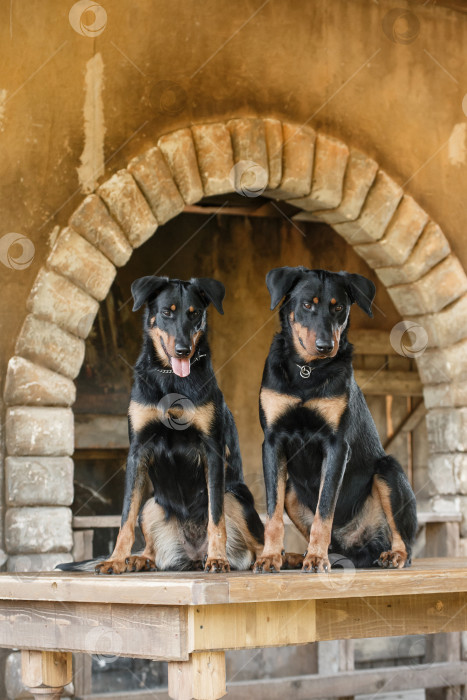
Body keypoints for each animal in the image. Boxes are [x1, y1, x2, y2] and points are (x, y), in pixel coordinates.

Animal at [254, 268, 418, 576]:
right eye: (307, 304)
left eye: (339, 307)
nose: (325, 346)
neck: (307, 371)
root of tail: (356, 547)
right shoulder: (272, 441)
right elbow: (272, 515)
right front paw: (269, 557)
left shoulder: (336, 445)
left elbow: (324, 510)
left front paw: (317, 559)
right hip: (293, 492)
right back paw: (296, 557)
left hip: (389, 471)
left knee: (405, 540)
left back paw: (392, 555)